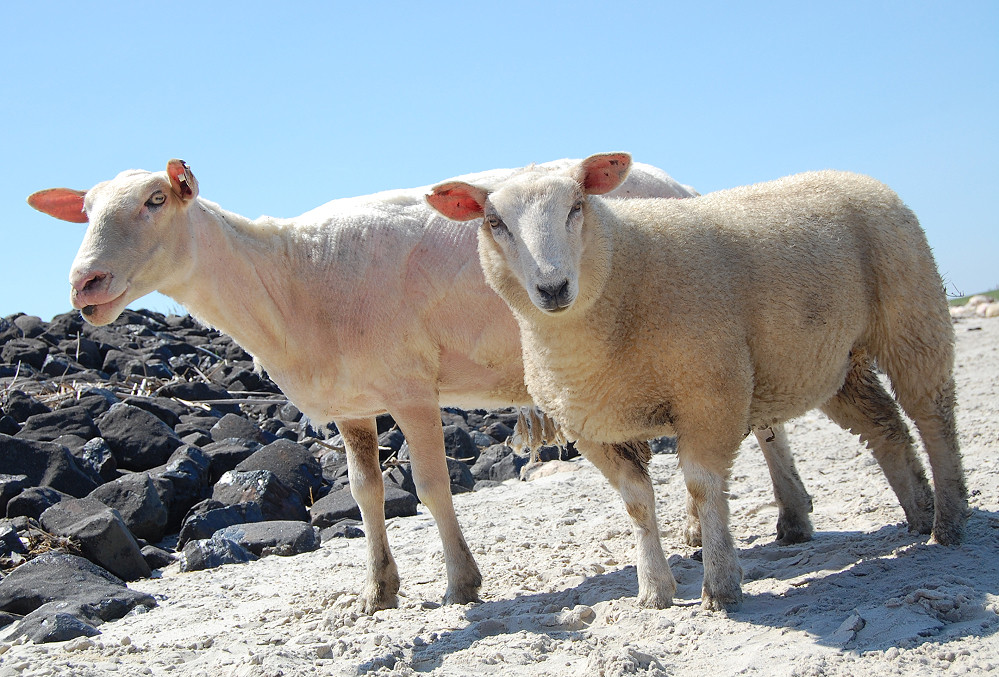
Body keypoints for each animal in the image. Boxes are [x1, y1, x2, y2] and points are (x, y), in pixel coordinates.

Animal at [27, 157, 716, 612]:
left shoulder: (409, 386)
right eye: (84, 211)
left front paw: (462, 584)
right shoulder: (350, 401)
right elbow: (365, 494)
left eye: (154, 201)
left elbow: (433, 488)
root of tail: (680, 183)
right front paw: (377, 590)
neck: (291, 277)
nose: (84, 284)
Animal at [430, 154, 968, 612]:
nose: (553, 288)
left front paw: (721, 585)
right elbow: (637, 505)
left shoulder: (710, 395)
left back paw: (949, 522)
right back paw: (918, 515)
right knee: (886, 428)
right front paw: (654, 590)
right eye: (494, 222)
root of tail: (854, 175)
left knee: (933, 418)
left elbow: (704, 488)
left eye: (577, 205)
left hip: (913, 317)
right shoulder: (596, 429)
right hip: (835, 362)